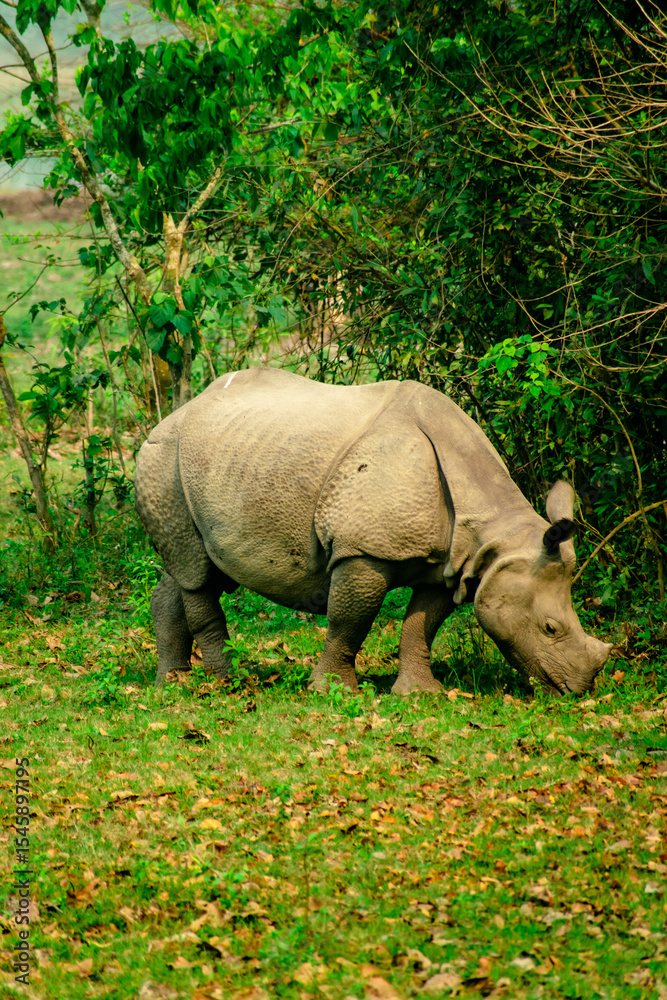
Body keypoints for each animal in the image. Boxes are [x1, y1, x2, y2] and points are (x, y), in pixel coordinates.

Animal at [134, 367, 611, 694]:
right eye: (550, 628)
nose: (578, 689)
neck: (493, 535)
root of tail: (172, 415)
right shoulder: (363, 551)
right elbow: (351, 620)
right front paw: (331, 691)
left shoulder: (450, 560)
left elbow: (421, 624)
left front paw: (420, 694)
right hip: (164, 456)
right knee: (197, 573)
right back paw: (225, 685)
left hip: (221, 458)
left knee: (190, 569)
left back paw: (171, 684)